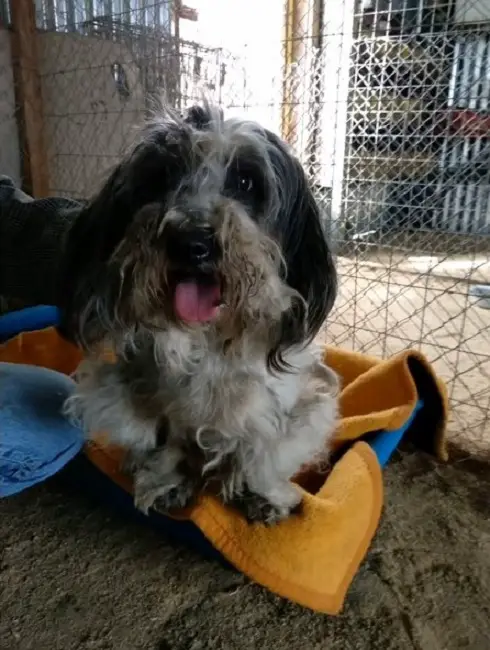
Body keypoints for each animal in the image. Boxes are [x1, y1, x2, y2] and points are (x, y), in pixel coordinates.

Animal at [64, 104, 340, 524]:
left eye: (245, 181)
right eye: (160, 177)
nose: (191, 242)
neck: (210, 338)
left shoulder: (292, 405)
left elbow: (262, 453)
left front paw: (261, 494)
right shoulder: (148, 401)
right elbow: (168, 443)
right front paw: (168, 481)